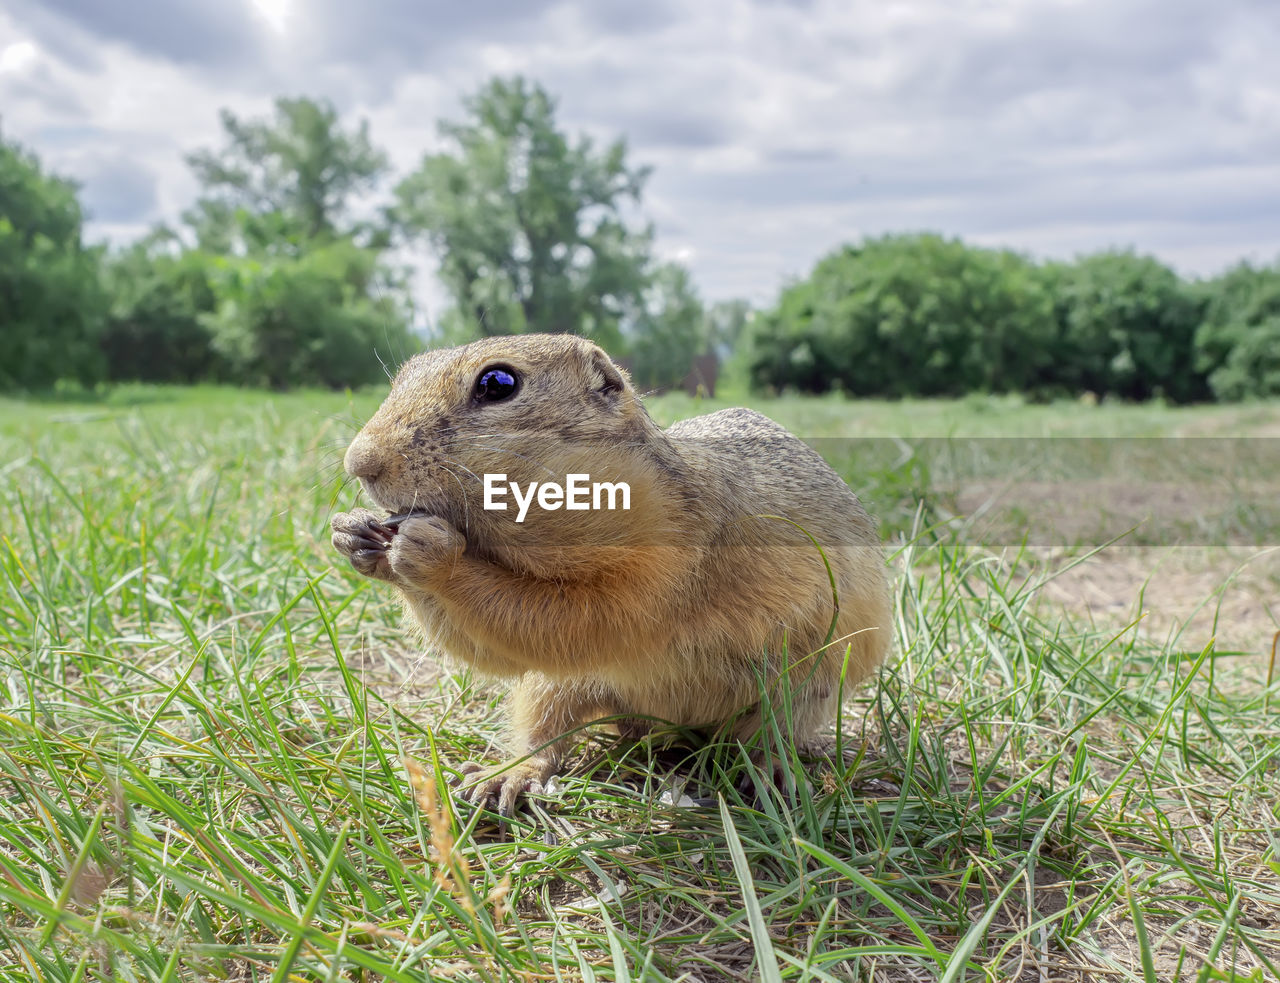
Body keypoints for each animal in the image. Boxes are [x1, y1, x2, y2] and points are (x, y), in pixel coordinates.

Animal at [330, 332, 890, 808]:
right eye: (405, 372)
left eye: (498, 383)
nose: (359, 462)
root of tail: (676, 726)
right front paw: (353, 532)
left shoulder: (661, 567)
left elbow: (578, 620)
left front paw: (432, 551)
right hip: (556, 689)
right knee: (545, 732)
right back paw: (506, 775)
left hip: (808, 687)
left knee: (770, 734)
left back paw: (771, 772)